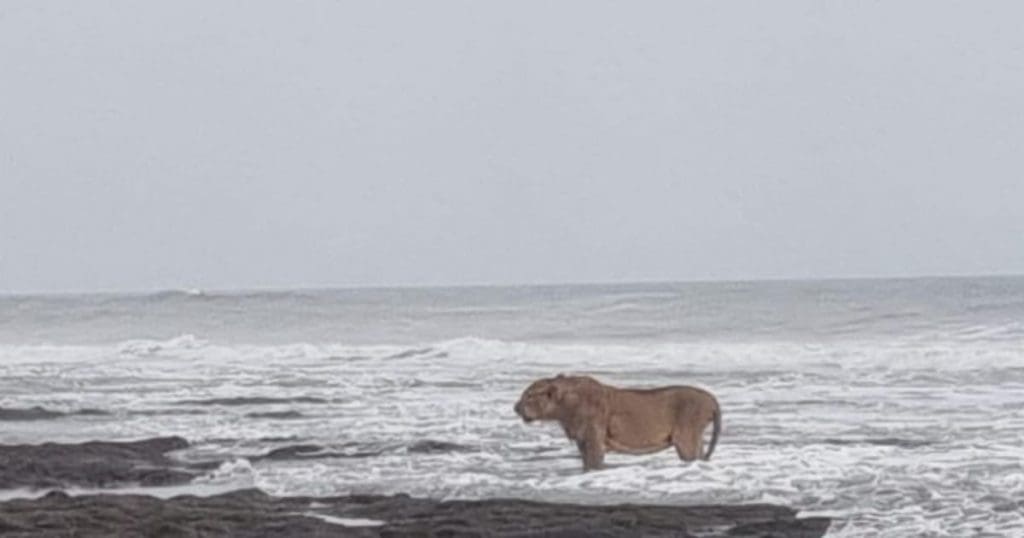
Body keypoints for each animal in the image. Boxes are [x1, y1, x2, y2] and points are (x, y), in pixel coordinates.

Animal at [514, 374, 721, 471]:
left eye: (529, 396)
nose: (515, 408)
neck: (564, 408)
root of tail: (711, 399)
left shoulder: (593, 438)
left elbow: (594, 463)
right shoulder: (582, 440)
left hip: (686, 437)